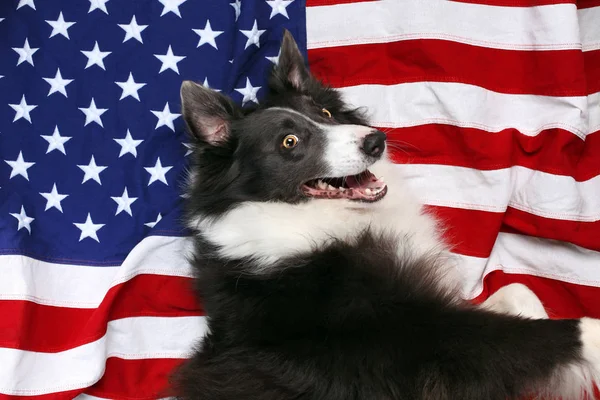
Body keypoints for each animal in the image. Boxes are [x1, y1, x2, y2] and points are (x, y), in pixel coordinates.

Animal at [171, 31, 600, 400]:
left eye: (326, 112)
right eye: (289, 142)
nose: (375, 141)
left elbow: (519, 289)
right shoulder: (416, 340)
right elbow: (553, 333)